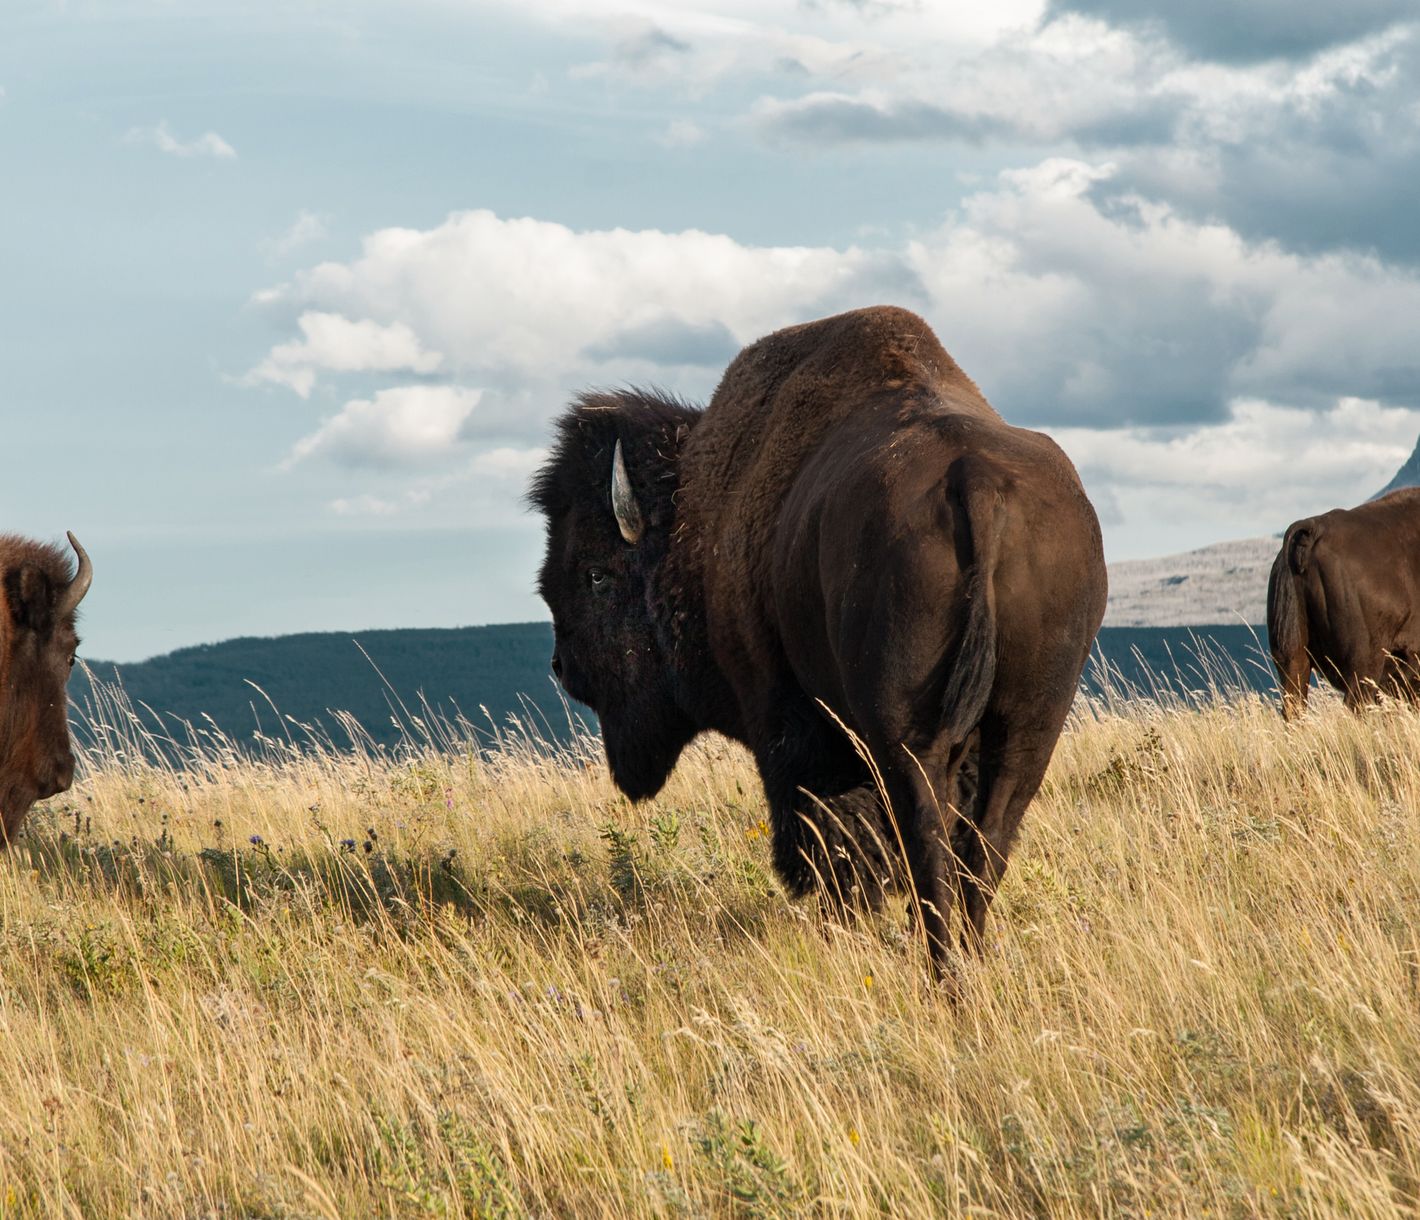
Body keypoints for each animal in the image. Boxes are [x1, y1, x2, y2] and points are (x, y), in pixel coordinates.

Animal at [531, 306, 1107, 976]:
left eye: (596, 574)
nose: (561, 667)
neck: (692, 518)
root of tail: (976, 479)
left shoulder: (788, 724)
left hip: (902, 736)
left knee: (922, 841)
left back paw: (941, 971)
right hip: (1028, 727)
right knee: (985, 846)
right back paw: (968, 959)